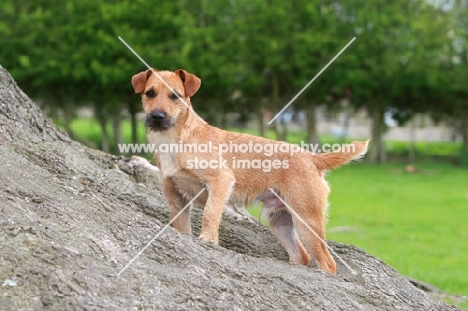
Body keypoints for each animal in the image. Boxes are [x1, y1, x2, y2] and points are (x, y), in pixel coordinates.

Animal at [130, 67, 368, 272]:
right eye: (150, 93)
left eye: (175, 96)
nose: (157, 117)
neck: (175, 140)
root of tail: (312, 158)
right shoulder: (176, 200)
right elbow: (181, 227)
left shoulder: (220, 182)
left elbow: (210, 213)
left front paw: (208, 239)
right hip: (280, 221)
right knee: (302, 256)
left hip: (306, 220)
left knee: (327, 262)